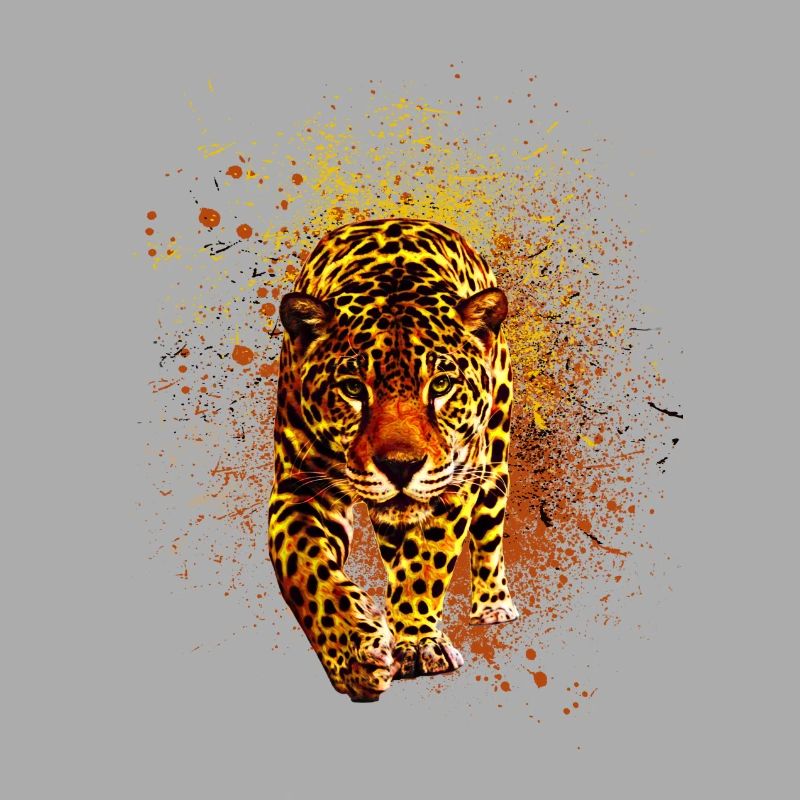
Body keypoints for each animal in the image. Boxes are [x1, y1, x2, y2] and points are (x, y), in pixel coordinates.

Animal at [268, 218, 518, 701]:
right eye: (352, 387)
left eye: (441, 384)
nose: (401, 465)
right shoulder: (299, 488)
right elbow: (306, 572)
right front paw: (354, 654)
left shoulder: (453, 484)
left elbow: (426, 563)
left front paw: (418, 642)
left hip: (492, 461)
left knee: (488, 534)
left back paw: (493, 605)